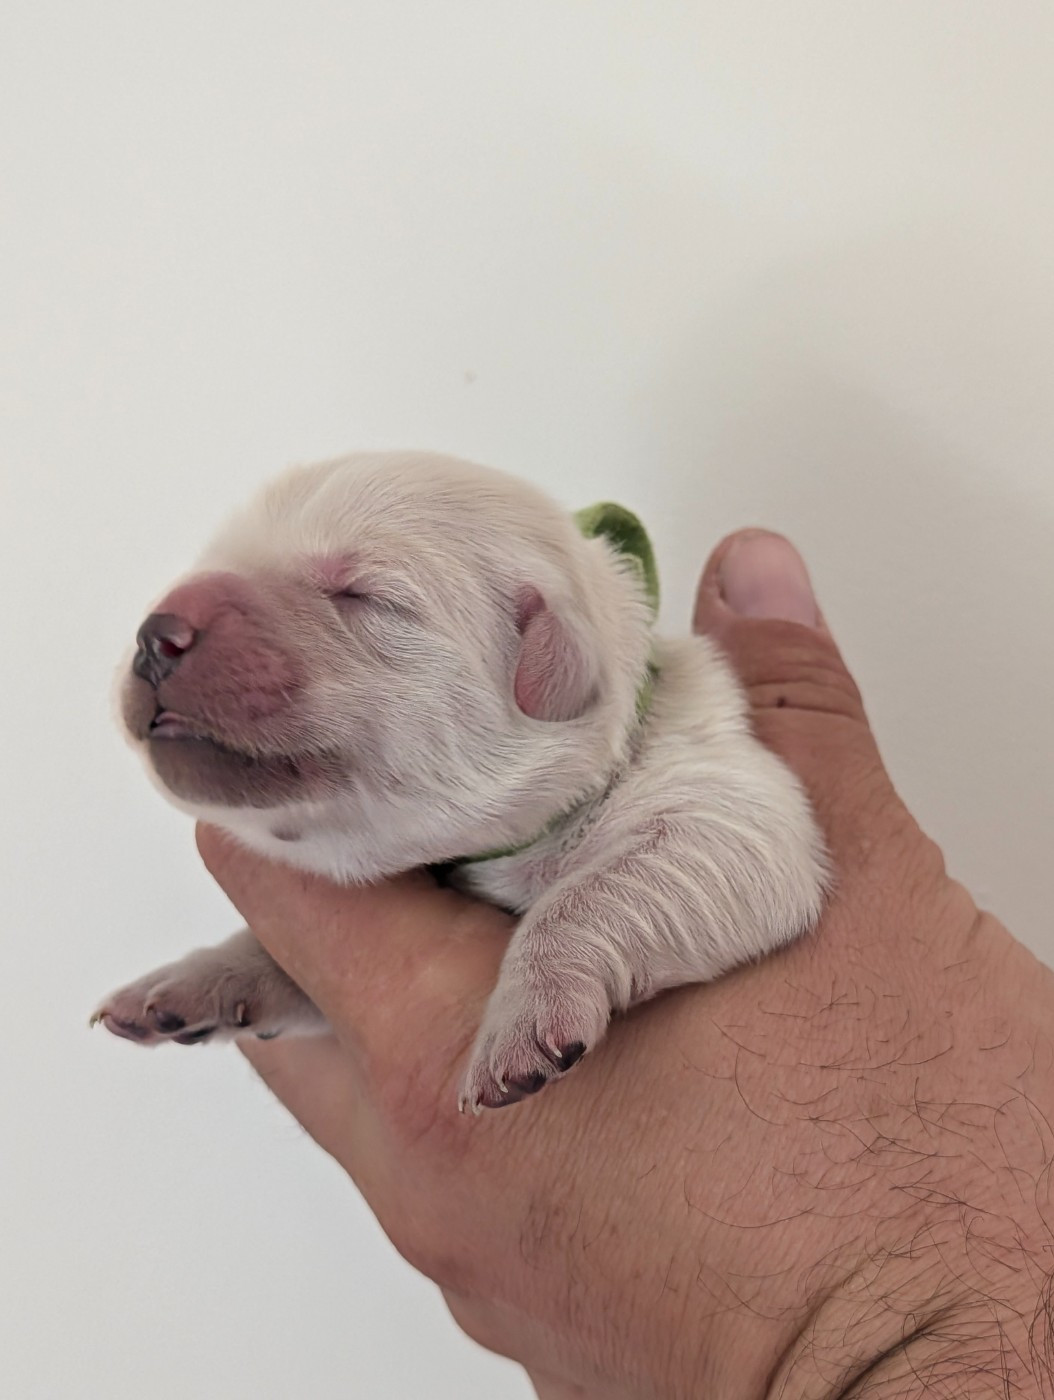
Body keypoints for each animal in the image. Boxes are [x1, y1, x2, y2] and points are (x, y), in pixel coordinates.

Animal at [92, 451, 828, 1111]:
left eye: (363, 594)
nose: (155, 634)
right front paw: (199, 977)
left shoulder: (728, 807)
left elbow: (604, 887)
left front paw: (523, 1022)